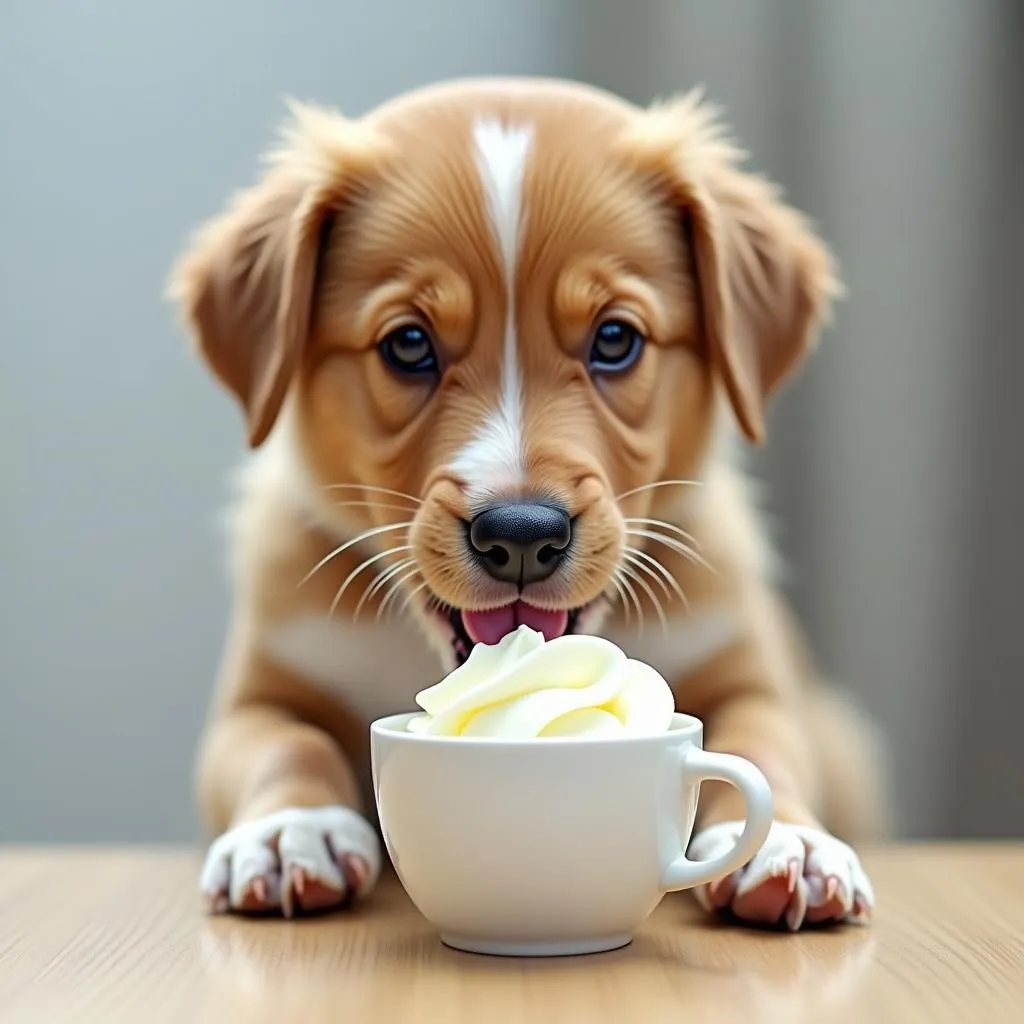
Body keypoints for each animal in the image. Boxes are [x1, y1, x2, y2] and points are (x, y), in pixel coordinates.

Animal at [169, 77, 888, 929]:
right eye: (408, 345)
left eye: (615, 339)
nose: (520, 535)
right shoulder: (258, 692)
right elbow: (282, 743)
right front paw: (290, 830)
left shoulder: (754, 676)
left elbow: (761, 744)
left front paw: (789, 844)